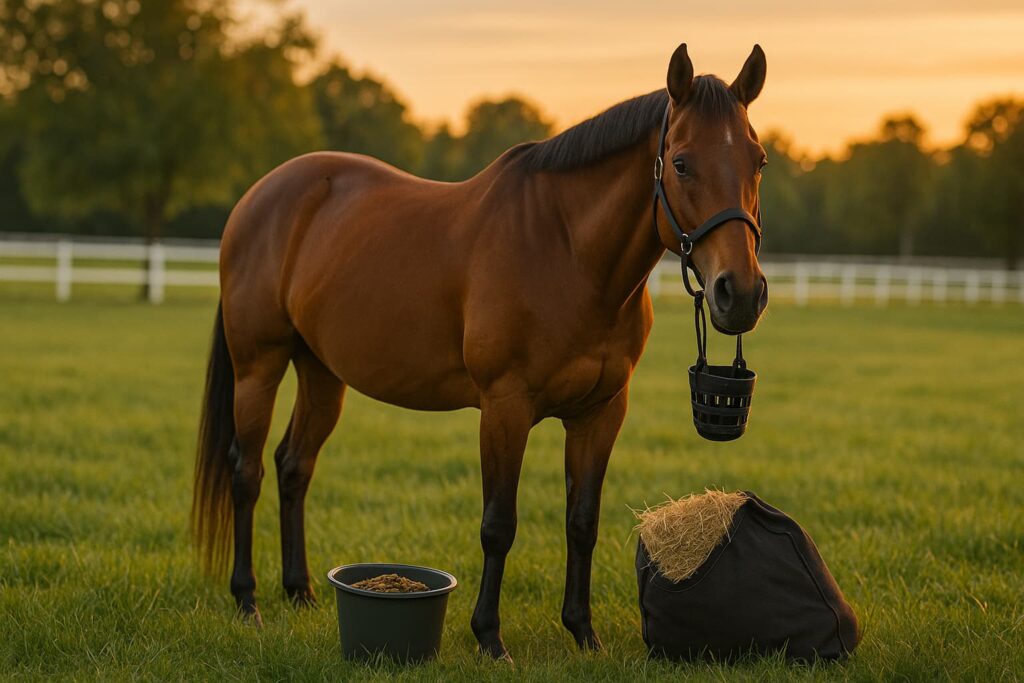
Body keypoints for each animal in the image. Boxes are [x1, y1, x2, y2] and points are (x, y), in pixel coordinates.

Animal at [191, 42, 769, 660]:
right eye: (681, 163)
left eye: (758, 161)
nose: (740, 292)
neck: (567, 251)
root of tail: (260, 196)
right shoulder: (504, 408)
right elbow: (499, 524)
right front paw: (489, 637)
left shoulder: (600, 413)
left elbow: (582, 521)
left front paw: (583, 632)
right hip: (259, 367)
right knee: (247, 471)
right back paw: (247, 600)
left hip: (322, 373)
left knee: (294, 466)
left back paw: (299, 592)